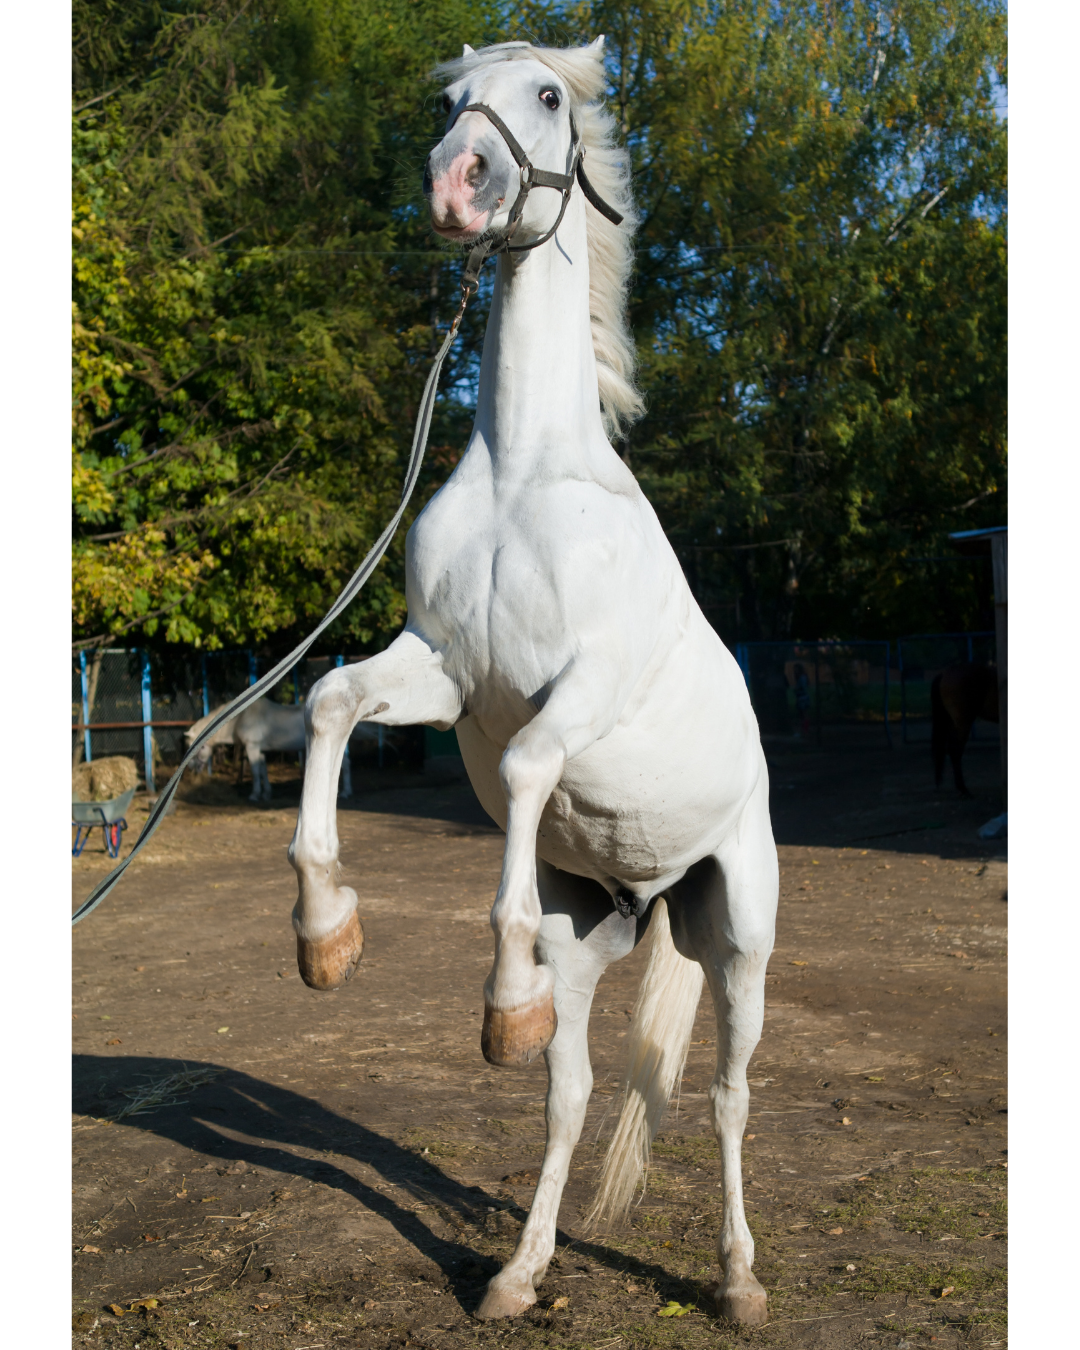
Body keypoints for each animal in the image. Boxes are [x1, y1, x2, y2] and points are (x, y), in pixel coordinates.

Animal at [185, 698, 382, 801]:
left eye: (196, 750)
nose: (191, 769)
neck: (240, 718)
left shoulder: (252, 747)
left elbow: (255, 772)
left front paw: (255, 795)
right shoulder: (260, 751)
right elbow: (263, 771)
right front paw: (266, 793)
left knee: (345, 766)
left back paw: (345, 792)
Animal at [286, 39, 778, 1327]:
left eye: (546, 95)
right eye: (452, 98)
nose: (457, 182)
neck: (522, 475)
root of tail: (664, 892)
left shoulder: (580, 694)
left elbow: (521, 768)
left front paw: (490, 983)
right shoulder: (442, 671)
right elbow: (330, 702)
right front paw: (326, 935)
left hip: (742, 940)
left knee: (727, 1096)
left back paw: (738, 1282)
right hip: (590, 939)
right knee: (571, 1088)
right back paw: (518, 1271)